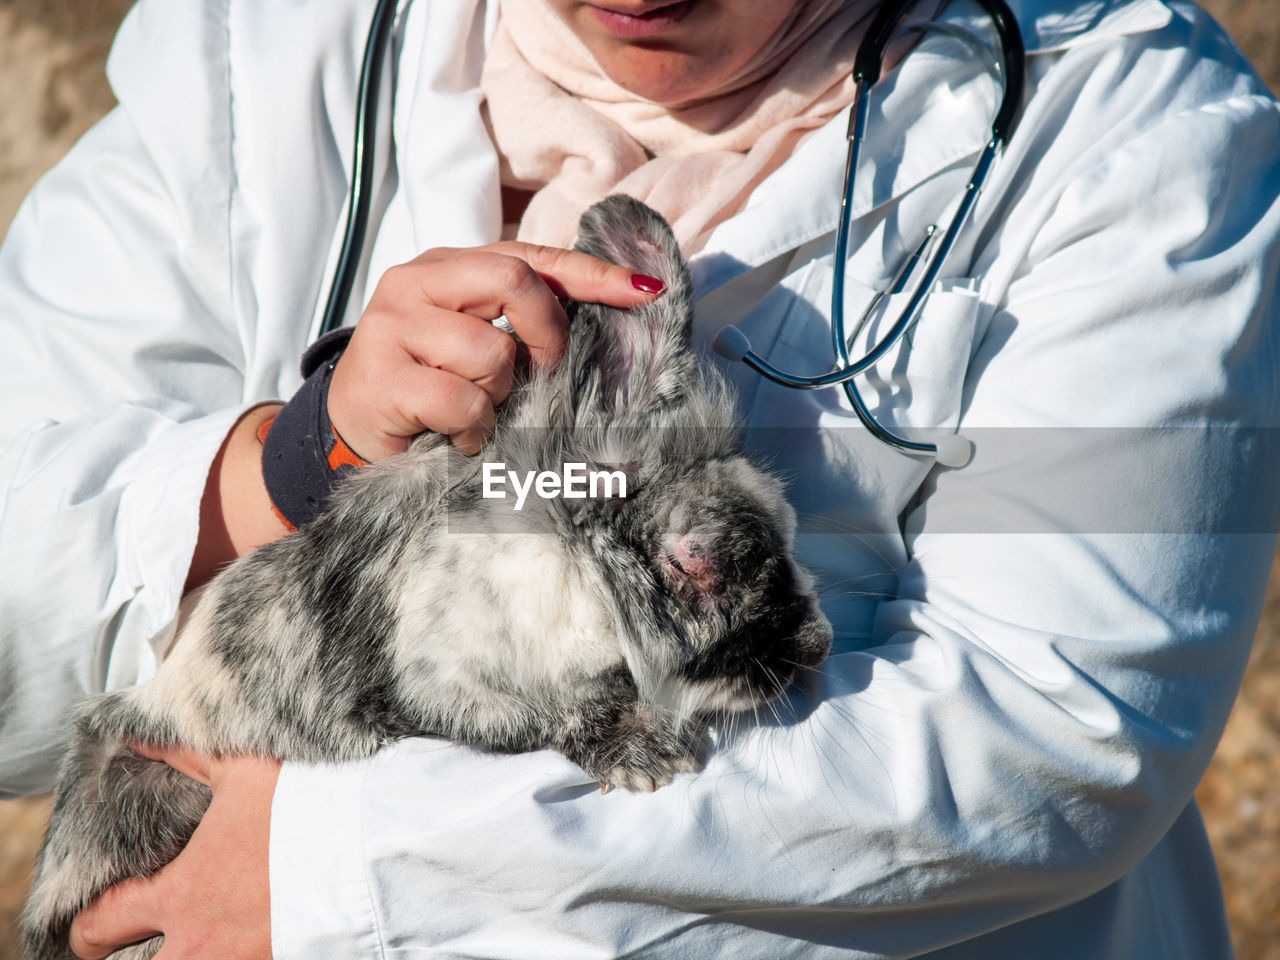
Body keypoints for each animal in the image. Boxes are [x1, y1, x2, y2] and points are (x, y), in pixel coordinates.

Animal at [27, 195, 839, 960]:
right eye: (696, 559)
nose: (818, 646)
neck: (573, 569)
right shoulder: (434, 687)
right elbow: (543, 718)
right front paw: (645, 756)